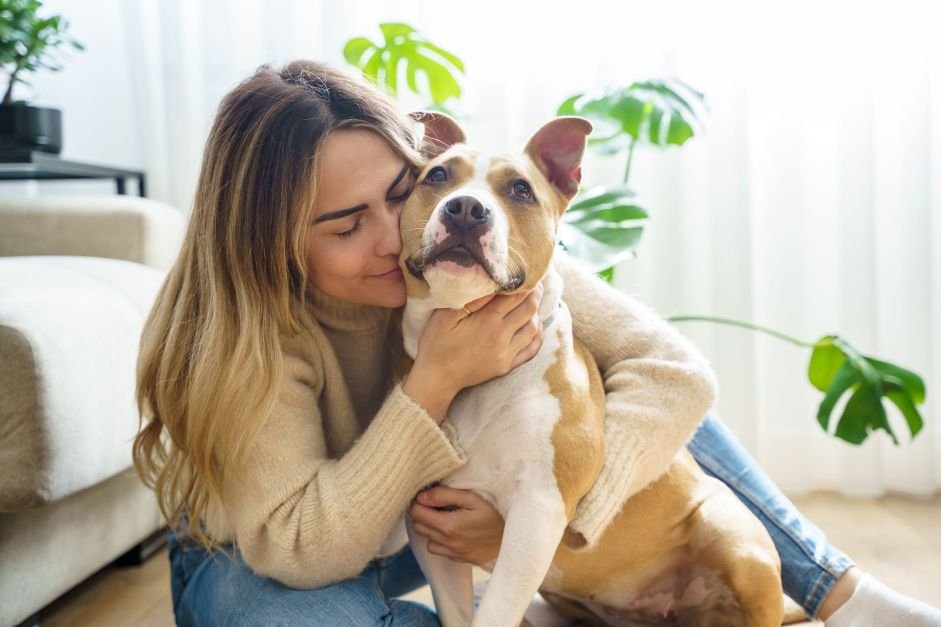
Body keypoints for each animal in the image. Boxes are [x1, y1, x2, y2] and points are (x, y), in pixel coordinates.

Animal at [398, 114, 784, 627]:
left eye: (520, 189)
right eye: (438, 176)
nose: (465, 208)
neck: (477, 376)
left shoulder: (537, 512)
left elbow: (496, 610)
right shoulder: (429, 523)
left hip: (733, 541)